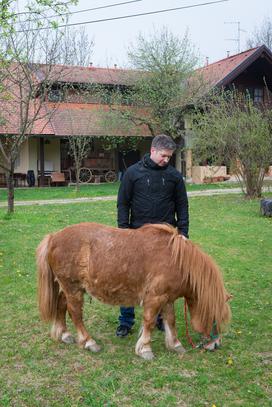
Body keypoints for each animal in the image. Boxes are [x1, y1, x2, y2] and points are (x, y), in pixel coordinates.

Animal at [36, 223, 232, 360]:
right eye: (214, 316)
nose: (216, 344)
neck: (176, 260)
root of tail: (53, 237)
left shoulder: (167, 299)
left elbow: (170, 320)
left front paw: (175, 345)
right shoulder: (155, 298)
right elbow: (149, 322)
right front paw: (145, 349)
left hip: (66, 288)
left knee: (61, 307)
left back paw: (64, 335)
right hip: (73, 288)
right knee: (75, 313)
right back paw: (89, 342)